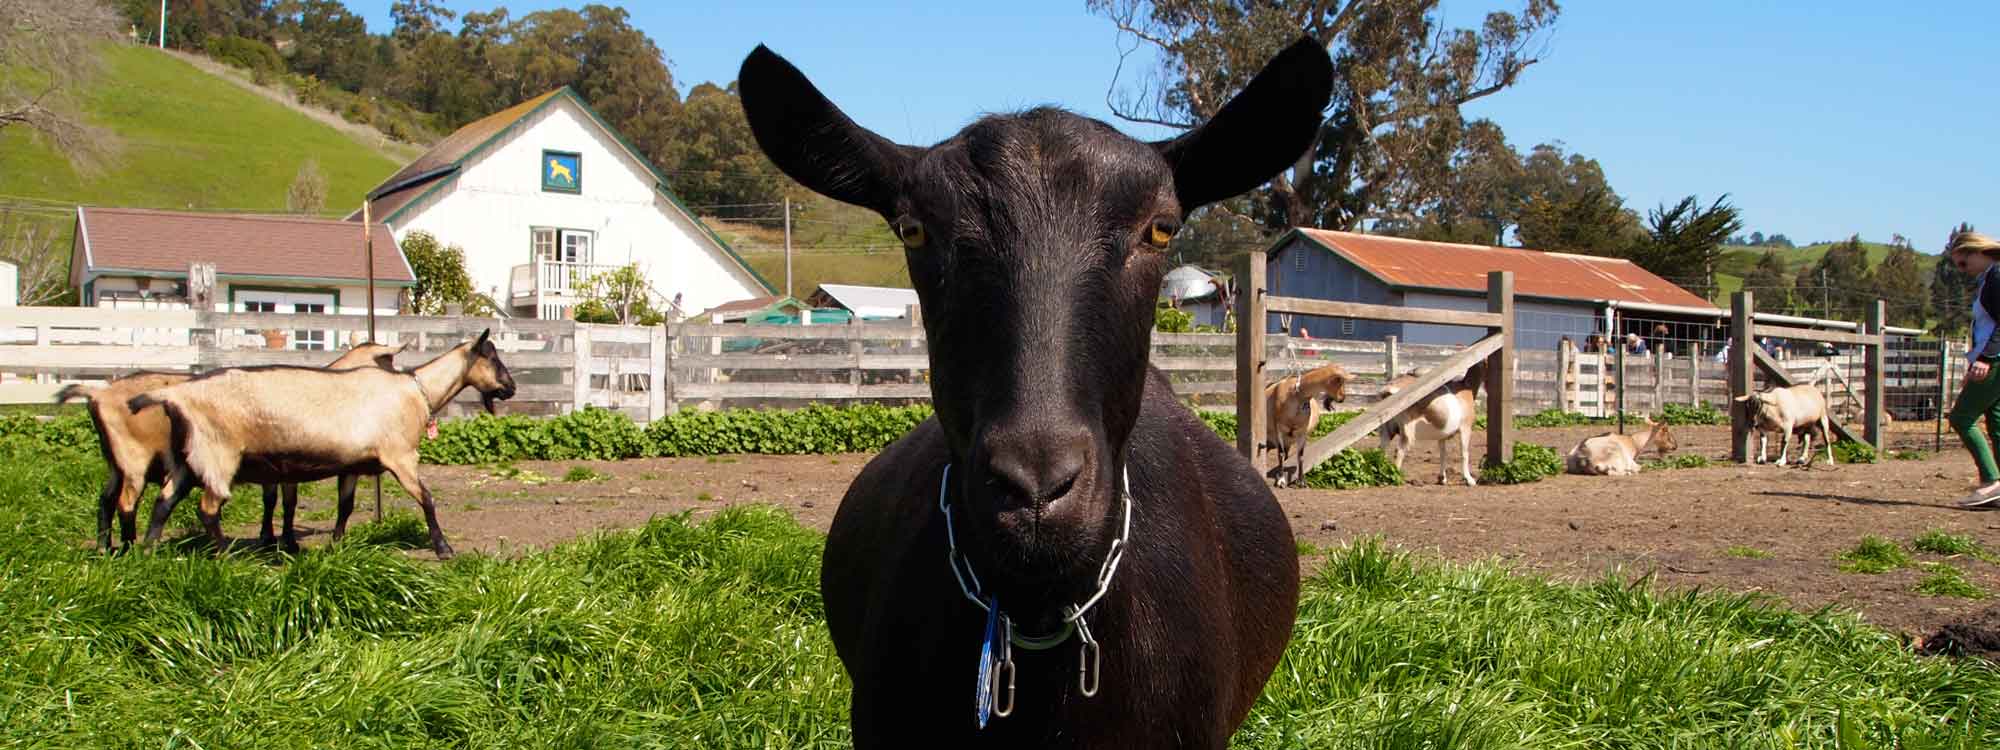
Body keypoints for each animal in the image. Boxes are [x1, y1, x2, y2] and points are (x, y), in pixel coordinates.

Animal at [55, 342, 402, 552]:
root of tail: (98, 393)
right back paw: (129, 546)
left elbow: (290, 502)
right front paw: (283, 541)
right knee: (127, 503)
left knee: (106, 500)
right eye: (389, 361)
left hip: (117, 463)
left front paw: (276, 538)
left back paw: (108, 547)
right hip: (135, 459)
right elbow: (285, 502)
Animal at [128, 334, 512, 560]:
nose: (511, 388)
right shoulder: (401, 456)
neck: (417, 390)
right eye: (492, 358)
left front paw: (336, 546)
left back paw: (146, 552)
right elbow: (427, 499)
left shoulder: (353, 466)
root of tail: (176, 395)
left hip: (187, 459)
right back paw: (226, 554)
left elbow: (345, 507)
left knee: (163, 503)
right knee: (207, 509)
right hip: (218, 455)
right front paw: (444, 548)